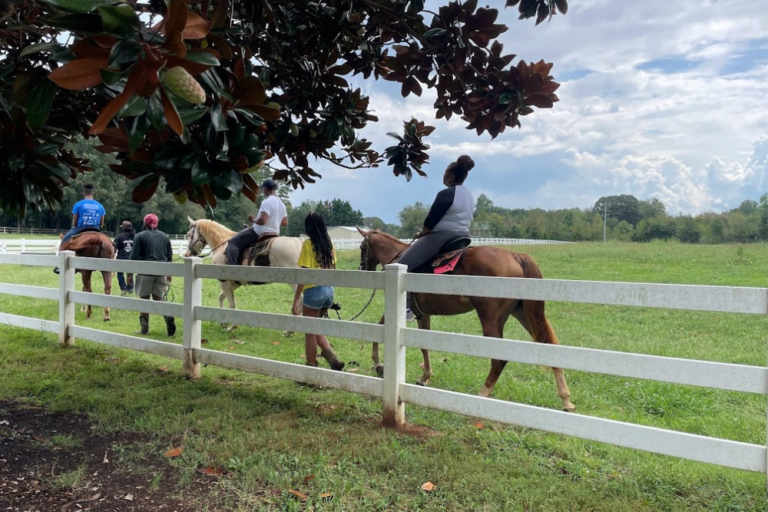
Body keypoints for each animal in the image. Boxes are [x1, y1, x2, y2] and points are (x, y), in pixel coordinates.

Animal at [357, 228, 575, 412]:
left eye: (362, 247)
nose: (363, 268)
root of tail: (515, 256)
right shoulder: (424, 315)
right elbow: (424, 345)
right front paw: (425, 376)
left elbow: (378, 328)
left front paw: (378, 364)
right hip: (523, 314)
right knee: (549, 346)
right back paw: (566, 400)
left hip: (491, 319)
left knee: (499, 360)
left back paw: (481, 395)